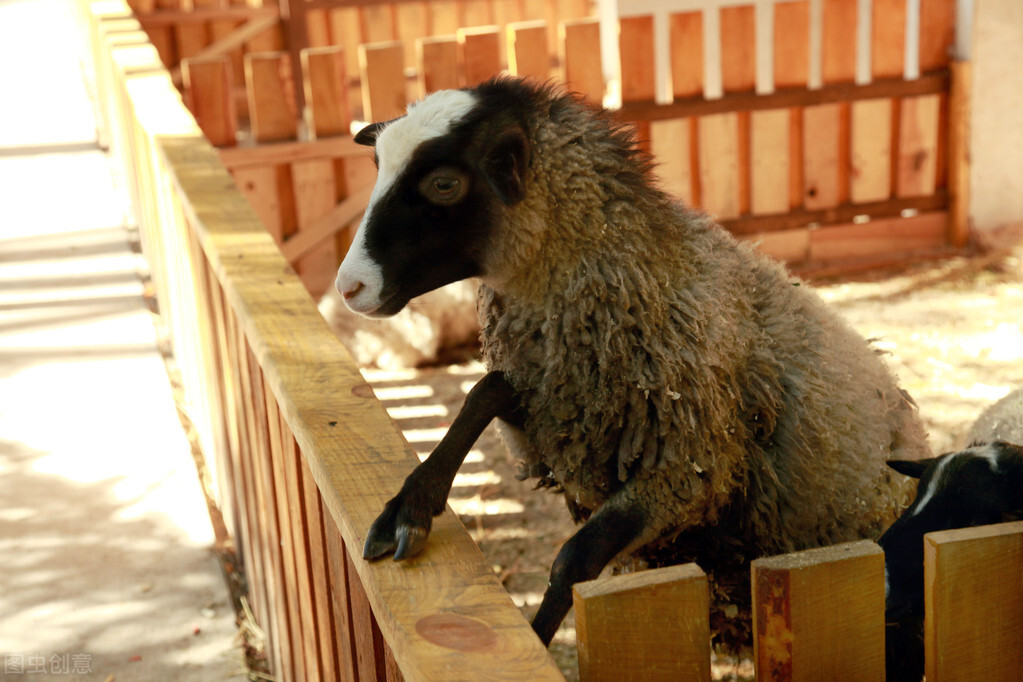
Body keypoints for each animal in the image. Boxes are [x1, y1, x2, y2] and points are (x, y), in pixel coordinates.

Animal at [337, 77, 937, 650]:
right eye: (378, 167)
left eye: (444, 183)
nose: (349, 288)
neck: (639, 274)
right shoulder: (557, 412)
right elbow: (483, 392)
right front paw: (407, 509)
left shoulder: (691, 469)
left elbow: (575, 559)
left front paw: (535, 643)